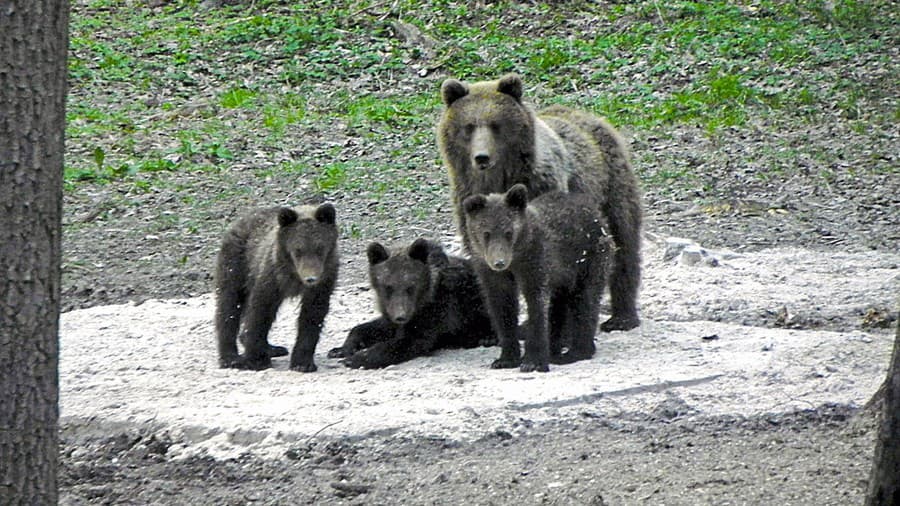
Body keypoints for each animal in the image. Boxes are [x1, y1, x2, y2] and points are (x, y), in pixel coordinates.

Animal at [214, 202, 338, 372]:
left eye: (320, 248)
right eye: (298, 250)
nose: (311, 278)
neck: (294, 276)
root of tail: (241, 219)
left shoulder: (325, 281)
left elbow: (312, 316)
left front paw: (303, 363)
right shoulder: (271, 276)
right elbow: (260, 311)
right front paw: (257, 360)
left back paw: (272, 348)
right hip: (237, 263)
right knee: (229, 305)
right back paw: (230, 358)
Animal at [326, 237, 492, 368]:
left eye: (411, 286)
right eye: (388, 287)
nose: (401, 316)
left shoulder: (437, 311)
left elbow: (407, 342)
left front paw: (356, 359)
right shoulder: (393, 311)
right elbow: (371, 328)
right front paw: (340, 350)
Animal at [440, 72, 644, 332]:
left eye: (496, 124)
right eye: (468, 126)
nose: (482, 157)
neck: (499, 180)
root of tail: (586, 114)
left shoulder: (541, 189)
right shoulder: (469, 205)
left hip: (611, 186)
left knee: (623, 242)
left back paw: (622, 316)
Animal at [464, 183, 612, 372]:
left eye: (508, 232)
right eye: (486, 233)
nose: (499, 262)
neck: (516, 257)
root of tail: (598, 216)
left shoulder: (536, 262)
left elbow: (536, 304)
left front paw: (532, 361)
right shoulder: (490, 272)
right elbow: (502, 307)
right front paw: (505, 359)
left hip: (589, 259)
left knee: (585, 300)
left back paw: (575, 352)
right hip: (564, 276)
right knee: (560, 305)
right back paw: (555, 349)